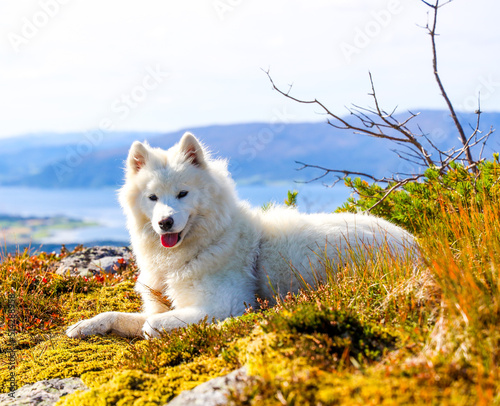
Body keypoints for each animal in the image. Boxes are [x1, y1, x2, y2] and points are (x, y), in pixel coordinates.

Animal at [65, 133, 414, 340]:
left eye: (182, 193)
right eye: (152, 198)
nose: (165, 223)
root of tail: (415, 246)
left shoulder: (225, 303)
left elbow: (152, 325)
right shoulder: (161, 304)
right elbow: (118, 315)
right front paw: (86, 325)